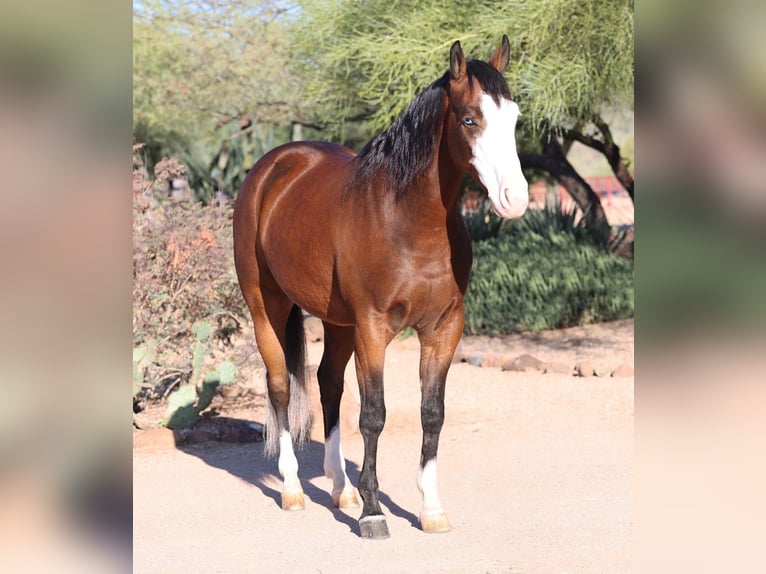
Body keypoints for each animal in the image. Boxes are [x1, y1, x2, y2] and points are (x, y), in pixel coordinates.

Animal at [233, 36, 528, 539]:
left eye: (514, 118)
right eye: (470, 119)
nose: (516, 198)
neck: (407, 221)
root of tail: (272, 167)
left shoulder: (444, 329)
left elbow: (433, 413)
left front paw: (430, 509)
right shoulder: (373, 329)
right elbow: (373, 415)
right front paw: (373, 512)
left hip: (337, 322)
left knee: (327, 384)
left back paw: (340, 488)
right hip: (265, 308)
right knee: (279, 387)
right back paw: (293, 490)